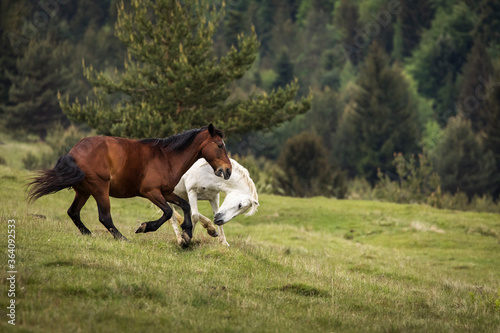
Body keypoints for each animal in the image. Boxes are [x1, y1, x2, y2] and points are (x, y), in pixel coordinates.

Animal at [30, 123, 233, 245]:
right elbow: (168, 212)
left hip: (83, 191)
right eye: (219, 145)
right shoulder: (151, 192)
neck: (167, 157)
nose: (228, 170)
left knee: (73, 212)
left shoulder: (166, 192)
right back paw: (123, 239)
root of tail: (74, 152)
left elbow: (185, 206)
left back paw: (89, 234)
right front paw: (145, 227)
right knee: (104, 217)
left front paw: (187, 234)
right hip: (100, 189)